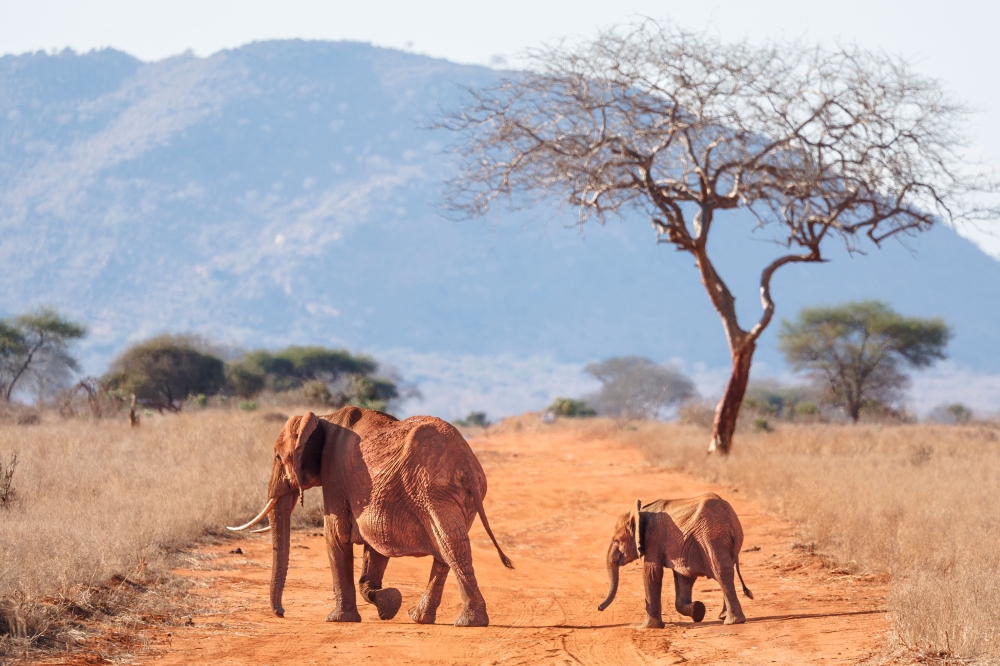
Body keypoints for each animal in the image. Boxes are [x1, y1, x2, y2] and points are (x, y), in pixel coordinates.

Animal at [226, 402, 508, 624]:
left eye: (277, 457)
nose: (282, 613)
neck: (323, 418)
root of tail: (466, 462)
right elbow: (376, 545)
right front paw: (389, 604)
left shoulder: (335, 474)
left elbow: (336, 536)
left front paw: (338, 619)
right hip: (455, 495)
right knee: (447, 549)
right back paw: (420, 618)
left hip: (433, 490)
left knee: (451, 547)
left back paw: (468, 623)